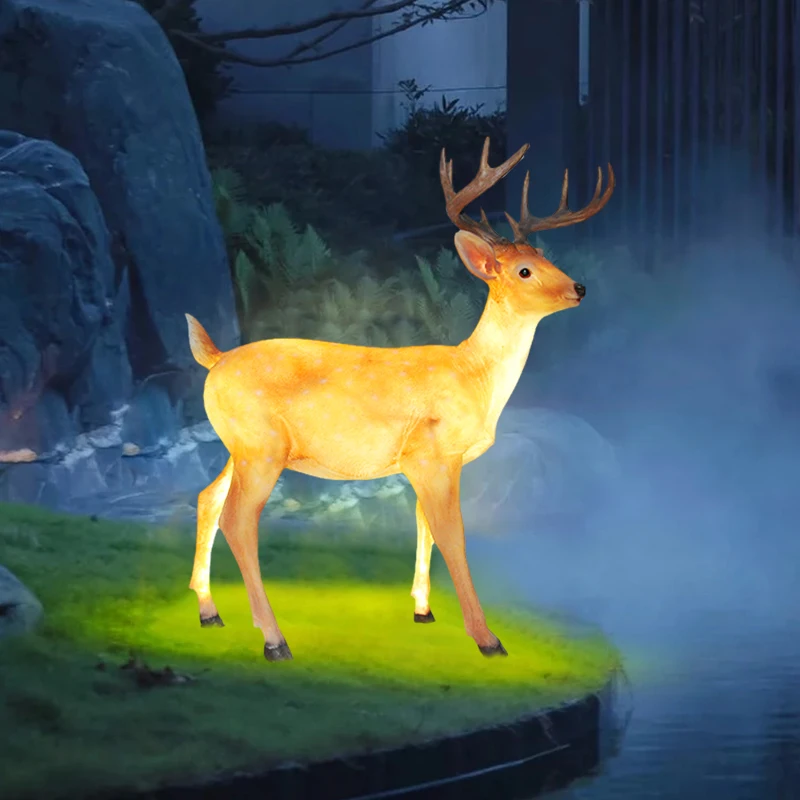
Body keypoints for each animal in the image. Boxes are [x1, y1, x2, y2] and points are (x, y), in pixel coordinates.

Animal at [185, 137, 614, 663]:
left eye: (546, 256)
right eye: (524, 270)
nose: (579, 287)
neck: (474, 376)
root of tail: (215, 359)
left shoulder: (425, 464)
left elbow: (422, 524)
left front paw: (423, 610)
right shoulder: (433, 454)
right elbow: (453, 534)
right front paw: (487, 638)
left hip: (239, 445)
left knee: (207, 498)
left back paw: (209, 612)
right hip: (260, 447)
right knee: (238, 519)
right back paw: (273, 639)